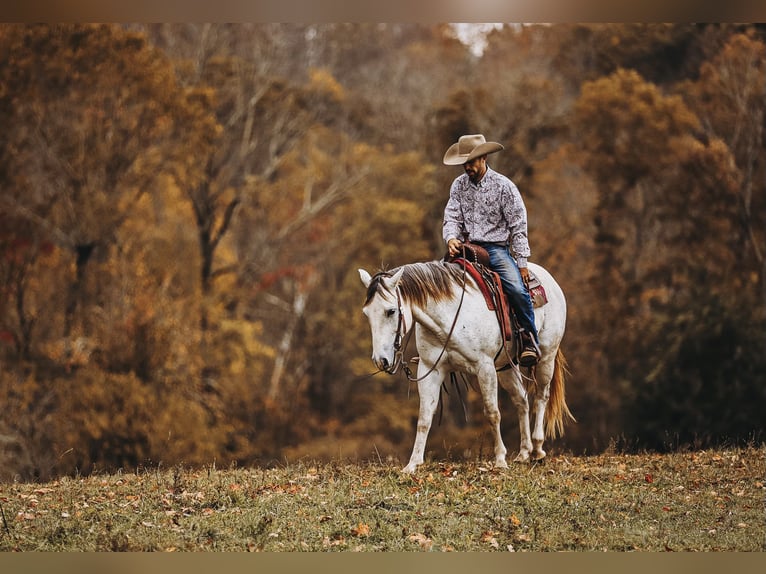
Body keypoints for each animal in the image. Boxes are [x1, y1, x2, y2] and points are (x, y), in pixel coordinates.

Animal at [360, 262, 576, 476]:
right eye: (367, 313)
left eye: (391, 311)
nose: (380, 360)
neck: (449, 317)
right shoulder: (430, 369)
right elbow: (424, 418)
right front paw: (412, 465)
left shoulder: (485, 368)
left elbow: (492, 413)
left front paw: (500, 460)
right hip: (506, 367)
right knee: (521, 401)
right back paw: (523, 452)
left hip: (546, 357)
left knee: (541, 397)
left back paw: (538, 449)